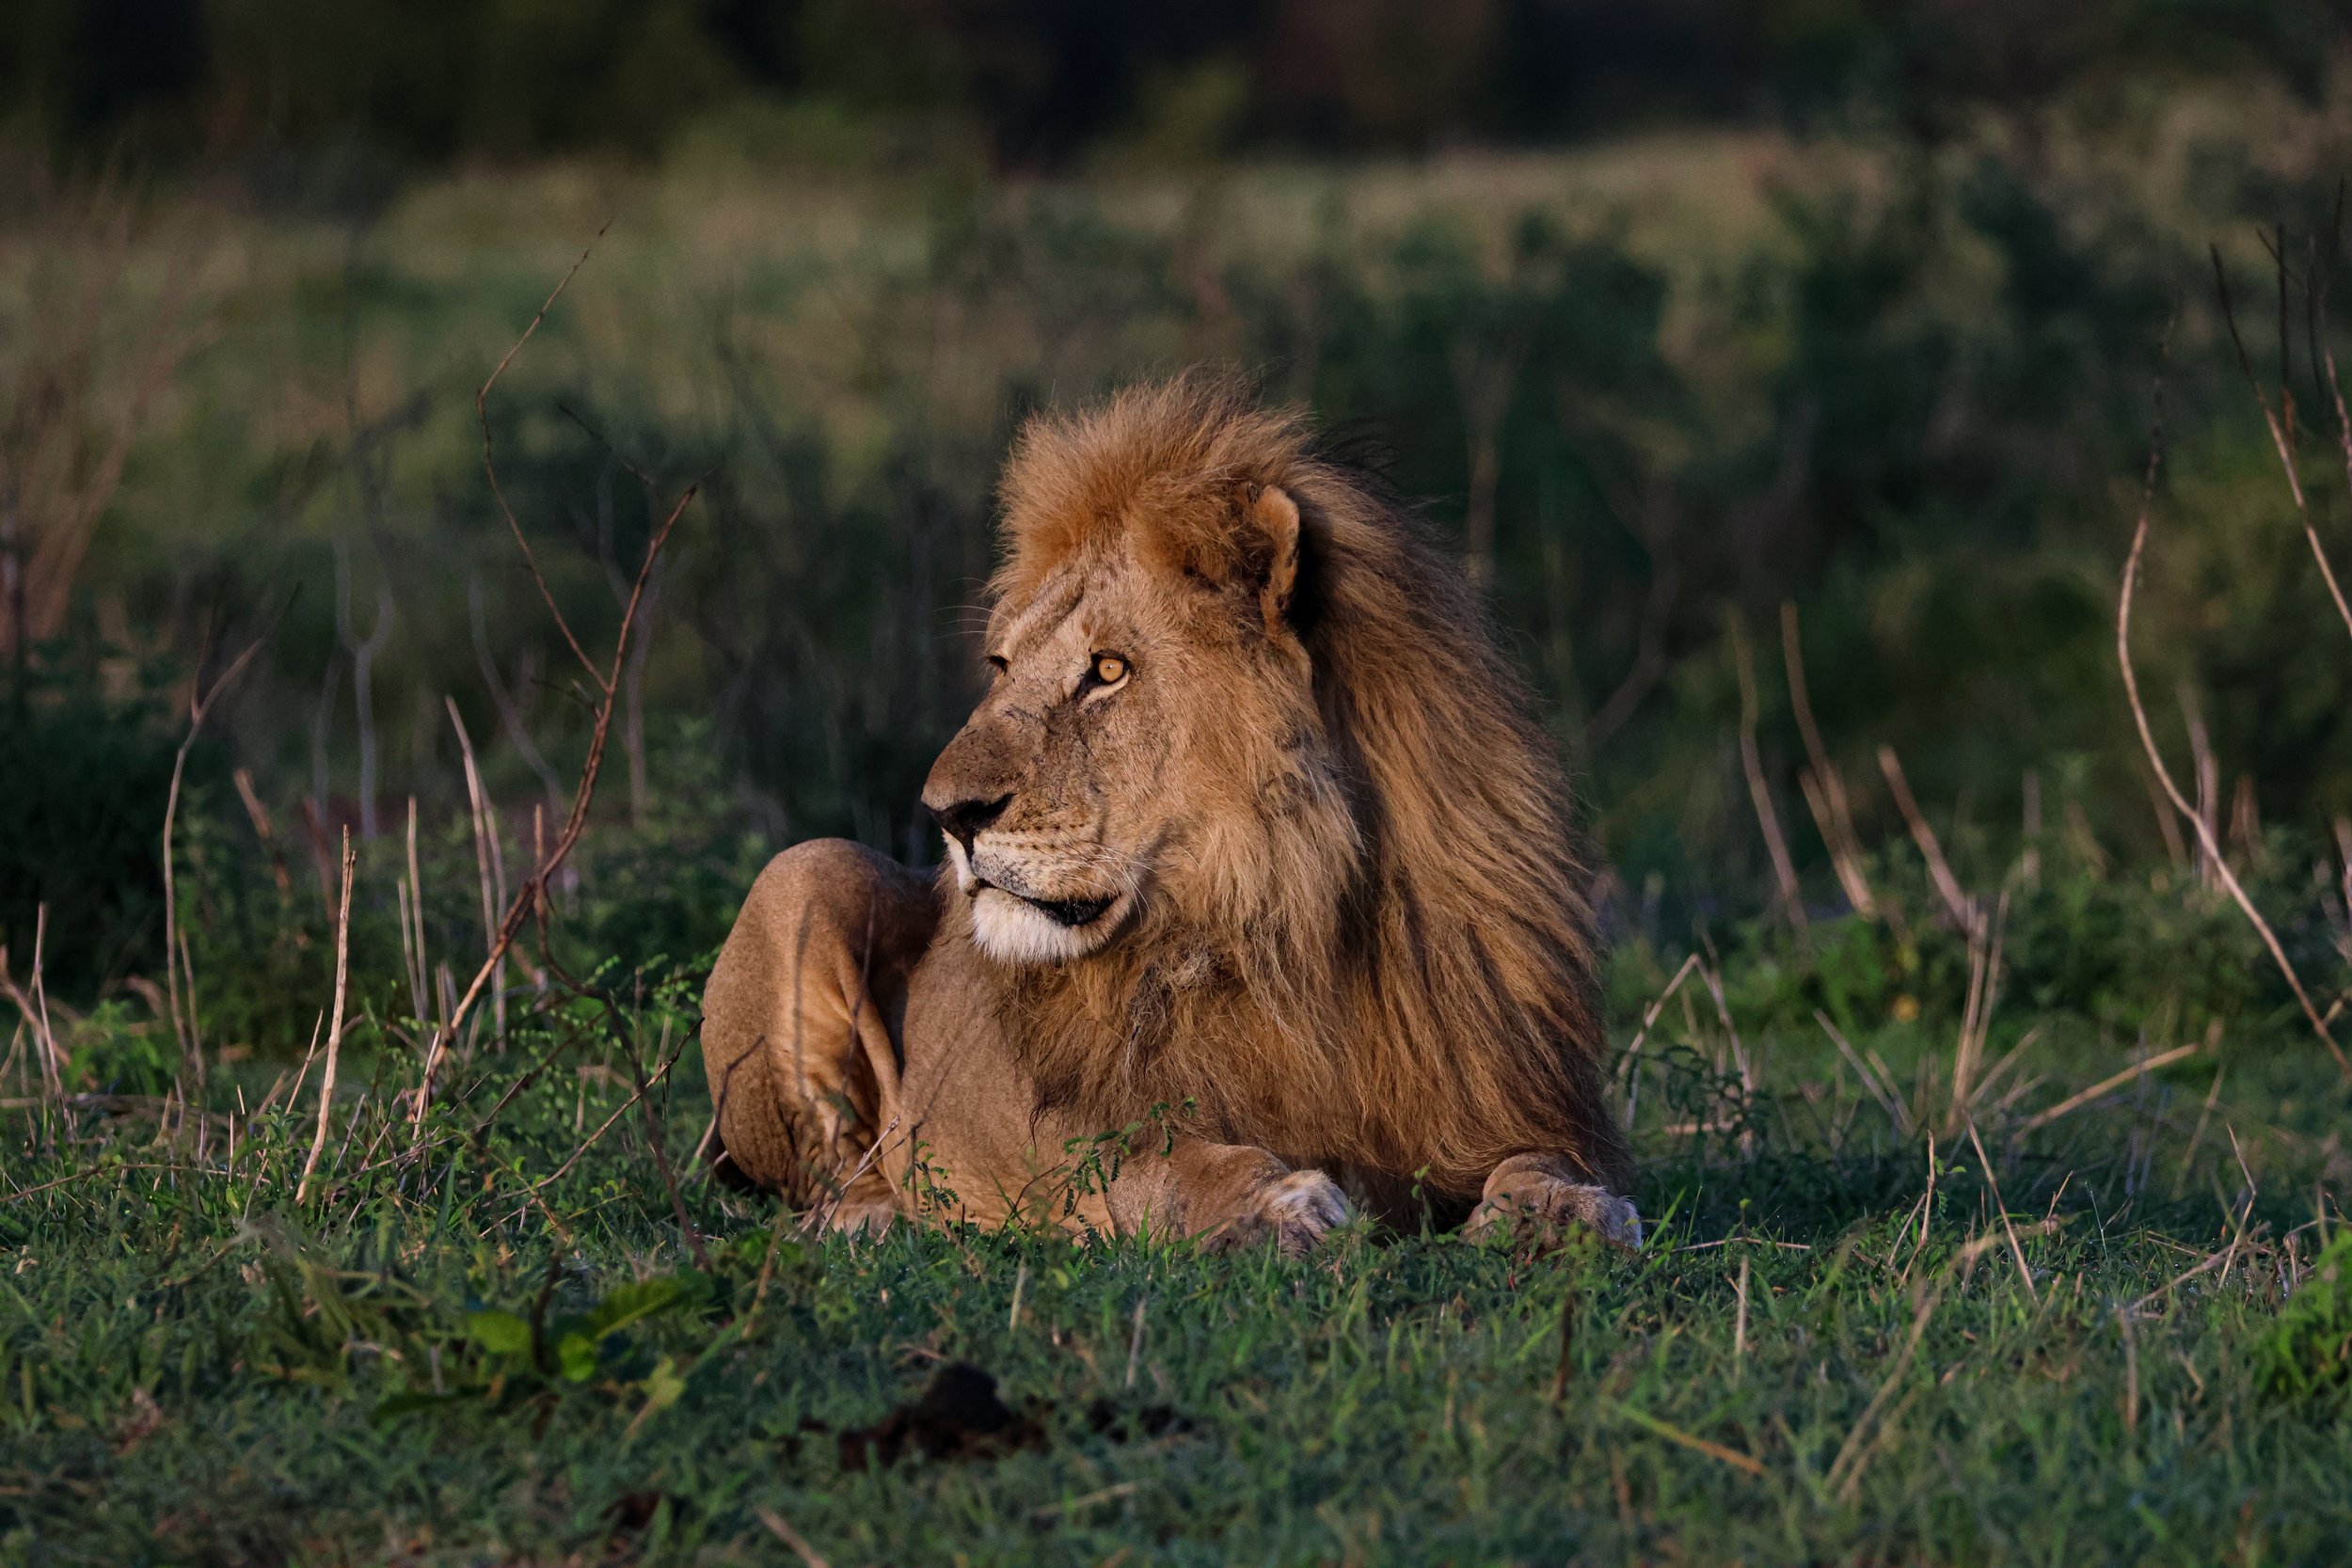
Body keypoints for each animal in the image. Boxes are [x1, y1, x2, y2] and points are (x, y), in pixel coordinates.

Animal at [699, 374, 1637, 1252]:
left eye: (1109, 671)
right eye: (1002, 666)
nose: (946, 813)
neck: (1293, 923)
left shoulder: (1502, 1091)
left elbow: (1543, 1157)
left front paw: (1565, 1210)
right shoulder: (1087, 1129)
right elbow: (1174, 1163)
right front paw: (1274, 1206)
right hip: (805, 868)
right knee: (834, 1167)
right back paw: (871, 1219)